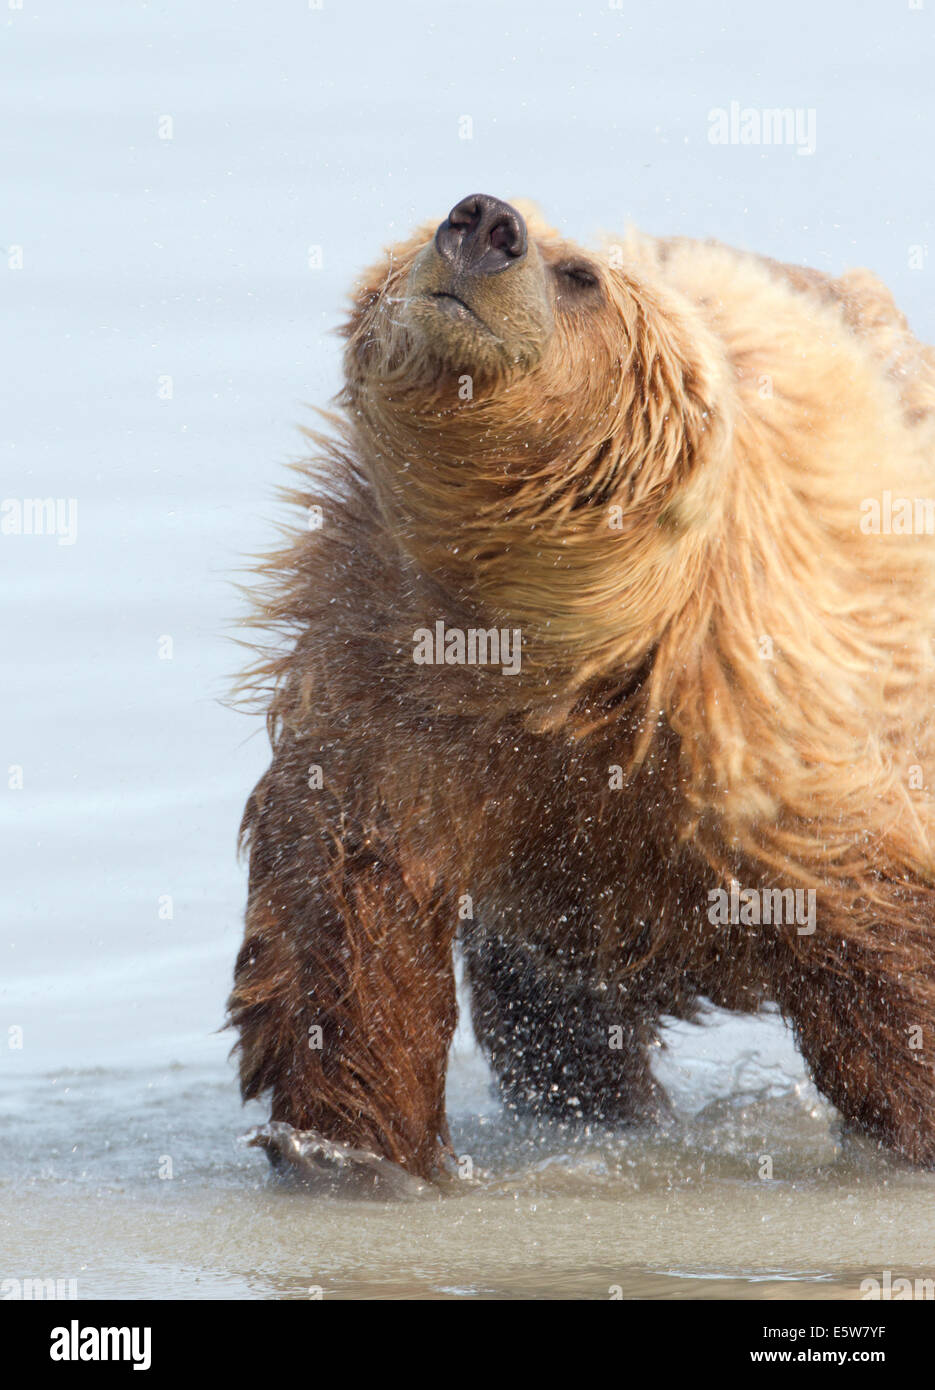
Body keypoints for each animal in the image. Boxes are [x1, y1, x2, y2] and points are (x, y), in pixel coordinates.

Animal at [229, 193, 935, 1181]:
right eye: (433, 226)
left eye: (581, 276)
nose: (484, 220)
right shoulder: (384, 699)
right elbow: (349, 943)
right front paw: (354, 1150)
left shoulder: (766, 727)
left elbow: (882, 945)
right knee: (555, 1023)